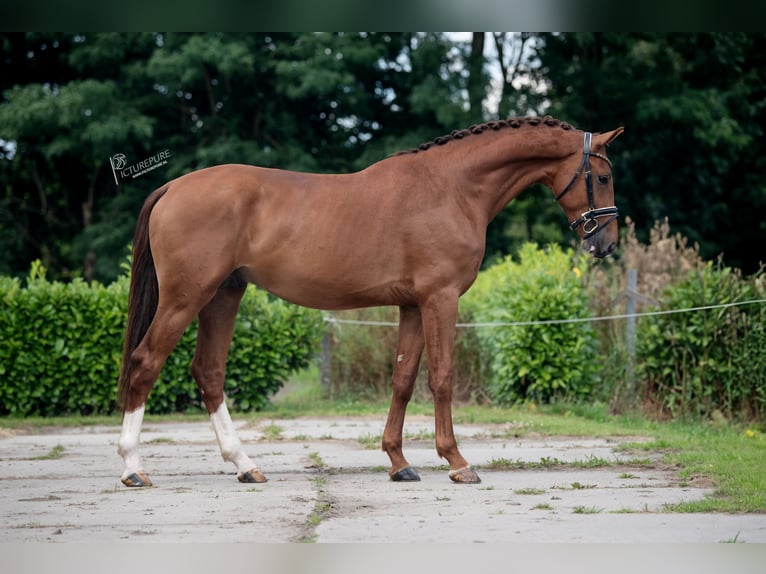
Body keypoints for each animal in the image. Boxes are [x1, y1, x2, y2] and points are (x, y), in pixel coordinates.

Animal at [118, 116, 624, 486]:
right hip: (185, 298)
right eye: (601, 176)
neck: (453, 187)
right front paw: (457, 461)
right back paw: (133, 468)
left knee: (209, 372)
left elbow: (402, 379)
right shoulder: (440, 299)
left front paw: (399, 462)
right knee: (146, 362)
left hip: (223, 295)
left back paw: (245, 465)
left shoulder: (413, 306)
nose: (607, 244)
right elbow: (441, 377)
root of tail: (173, 187)